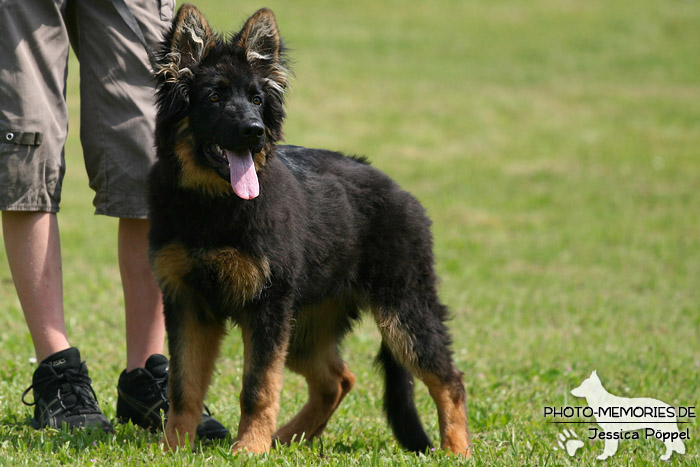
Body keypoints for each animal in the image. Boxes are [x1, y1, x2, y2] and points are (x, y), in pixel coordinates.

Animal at [150, 3, 474, 458]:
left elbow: (258, 388)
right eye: (214, 97)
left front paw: (249, 448)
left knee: (449, 380)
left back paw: (456, 449)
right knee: (337, 379)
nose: (255, 132)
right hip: (304, 327)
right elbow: (185, 388)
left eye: (256, 100)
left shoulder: (266, 309)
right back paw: (288, 437)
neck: (212, 205)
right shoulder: (188, 305)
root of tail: (399, 190)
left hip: (403, 313)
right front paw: (174, 447)